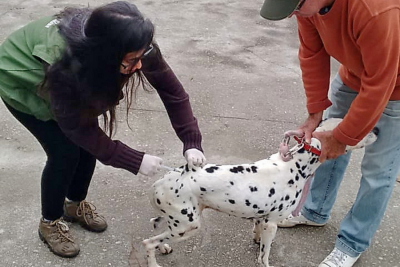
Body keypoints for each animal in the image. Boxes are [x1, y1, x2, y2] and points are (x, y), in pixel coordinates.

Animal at [144, 119, 378, 267]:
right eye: (361, 130)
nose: (377, 131)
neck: (295, 165)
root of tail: (163, 180)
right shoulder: (271, 223)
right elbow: (264, 257)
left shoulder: (262, 218)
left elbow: (258, 235)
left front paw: (257, 240)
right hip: (188, 226)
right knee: (148, 242)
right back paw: (154, 262)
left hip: (178, 221)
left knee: (155, 226)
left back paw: (164, 247)